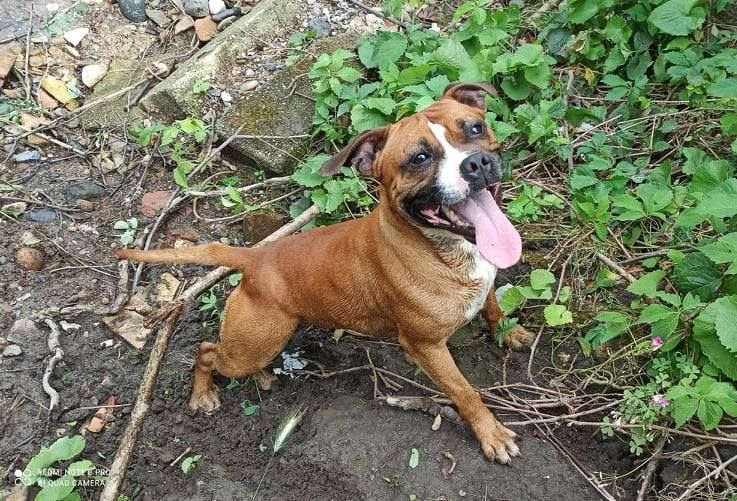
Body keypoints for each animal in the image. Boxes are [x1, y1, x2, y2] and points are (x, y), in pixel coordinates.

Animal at [117, 82, 534, 464]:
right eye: (418, 157)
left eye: (475, 128)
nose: (475, 163)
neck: (442, 248)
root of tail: (254, 258)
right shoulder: (426, 347)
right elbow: (464, 391)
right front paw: (491, 434)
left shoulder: (485, 284)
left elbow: (493, 307)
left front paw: (509, 332)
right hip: (252, 345)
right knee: (206, 351)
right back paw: (203, 393)